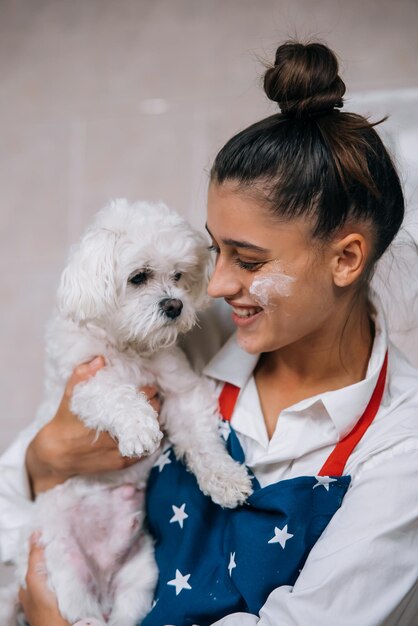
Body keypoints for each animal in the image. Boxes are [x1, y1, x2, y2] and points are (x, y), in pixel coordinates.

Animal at [4, 199, 251, 624]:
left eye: (179, 275)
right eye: (139, 277)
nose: (175, 305)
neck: (129, 346)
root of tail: (103, 588)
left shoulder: (181, 393)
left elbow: (203, 443)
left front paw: (226, 479)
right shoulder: (85, 384)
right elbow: (116, 396)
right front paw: (138, 428)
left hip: (140, 578)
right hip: (59, 564)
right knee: (75, 608)